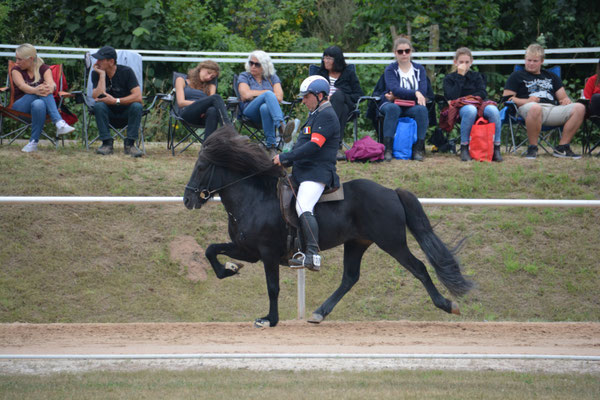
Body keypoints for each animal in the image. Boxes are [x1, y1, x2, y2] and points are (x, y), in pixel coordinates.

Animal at [183, 126, 474, 328]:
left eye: (201, 167)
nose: (187, 200)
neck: (254, 198)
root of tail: (391, 191)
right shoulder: (248, 250)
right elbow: (211, 250)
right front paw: (230, 269)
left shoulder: (266, 253)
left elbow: (272, 287)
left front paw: (270, 319)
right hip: (357, 243)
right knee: (350, 278)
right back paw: (319, 313)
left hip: (392, 243)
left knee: (419, 268)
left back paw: (447, 304)